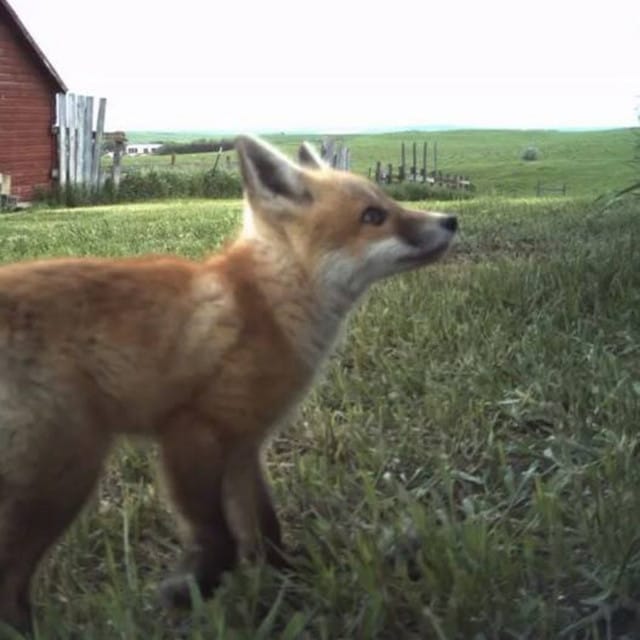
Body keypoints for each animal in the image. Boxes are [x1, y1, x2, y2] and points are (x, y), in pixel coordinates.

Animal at [0, 135, 457, 634]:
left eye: (388, 202)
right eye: (373, 217)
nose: (450, 220)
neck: (267, 304)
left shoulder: (244, 447)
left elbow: (266, 528)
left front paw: (289, 584)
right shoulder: (191, 431)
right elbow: (217, 534)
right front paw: (192, 588)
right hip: (63, 475)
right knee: (10, 582)